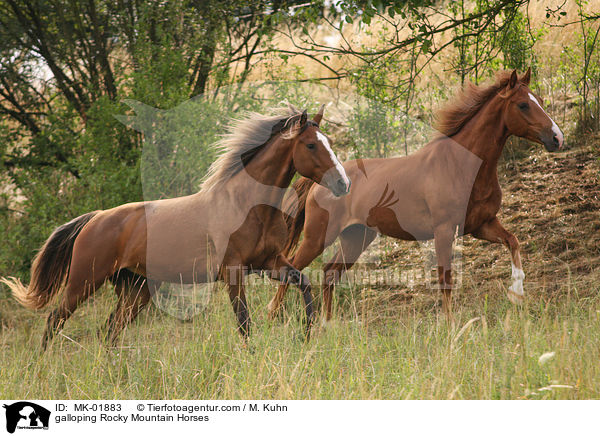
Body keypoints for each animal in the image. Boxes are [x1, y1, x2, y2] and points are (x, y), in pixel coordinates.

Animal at [2, 104, 350, 350]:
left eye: (328, 142)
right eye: (310, 145)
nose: (343, 184)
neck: (247, 205)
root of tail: (96, 218)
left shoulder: (269, 263)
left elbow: (304, 284)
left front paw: (307, 337)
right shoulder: (233, 271)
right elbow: (244, 323)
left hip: (135, 289)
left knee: (110, 330)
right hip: (84, 281)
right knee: (54, 320)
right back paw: (43, 366)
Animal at [270, 70, 564, 322]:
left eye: (539, 100)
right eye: (523, 105)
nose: (557, 138)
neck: (462, 166)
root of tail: (318, 183)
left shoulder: (483, 225)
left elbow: (513, 241)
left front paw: (517, 294)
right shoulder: (444, 230)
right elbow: (446, 279)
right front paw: (449, 326)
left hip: (357, 237)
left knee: (330, 272)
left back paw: (327, 324)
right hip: (319, 237)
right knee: (294, 269)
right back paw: (274, 316)